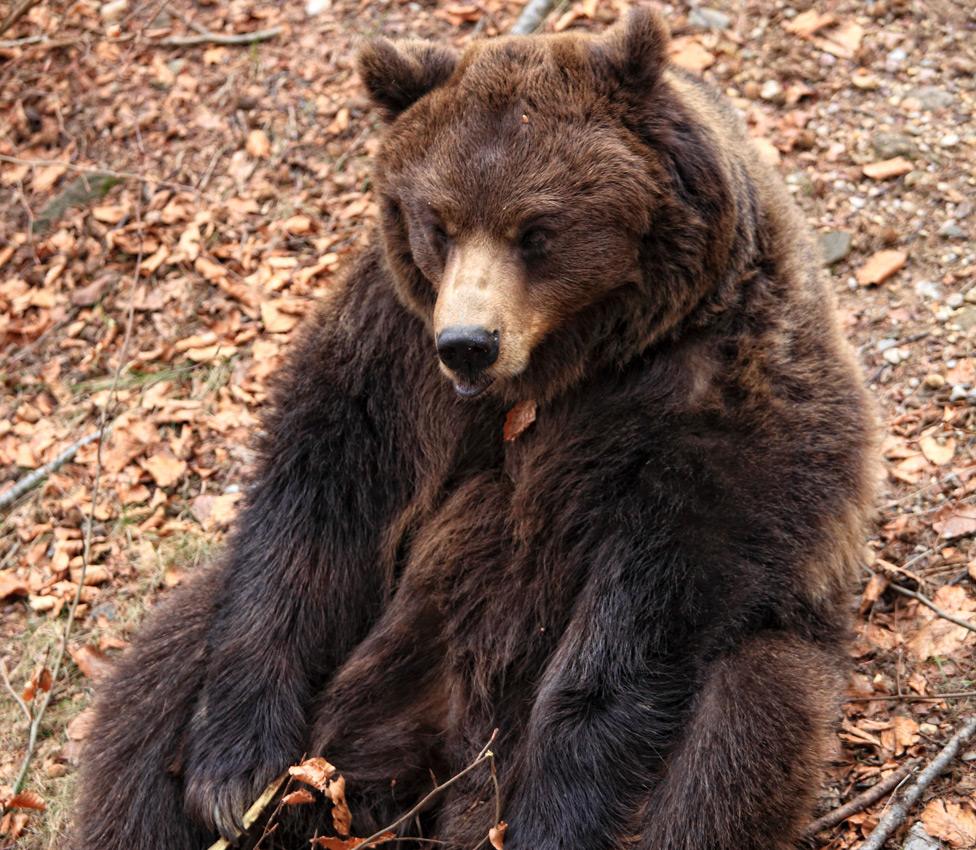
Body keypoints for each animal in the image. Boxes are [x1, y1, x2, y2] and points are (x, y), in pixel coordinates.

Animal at [68, 9, 876, 848]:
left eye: (536, 229)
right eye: (440, 223)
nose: (467, 342)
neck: (569, 361)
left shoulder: (722, 394)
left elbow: (654, 599)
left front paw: (556, 812)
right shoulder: (395, 349)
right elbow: (318, 499)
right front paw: (234, 775)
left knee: (742, 726)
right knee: (156, 680)